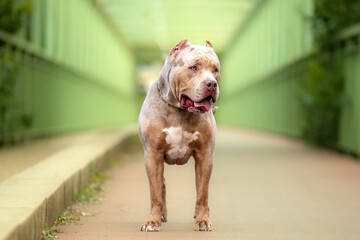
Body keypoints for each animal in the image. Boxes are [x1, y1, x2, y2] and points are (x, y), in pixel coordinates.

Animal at [138, 38, 219, 232]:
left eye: (216, 70)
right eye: (194, 67)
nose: (212, 84)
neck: (180, 112)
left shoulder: (205, 155)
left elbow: (202, 192)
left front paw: (203, 220)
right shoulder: (153, 155)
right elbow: (155, 192)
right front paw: (152, 221)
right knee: (161, 185)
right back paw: (162, 215)